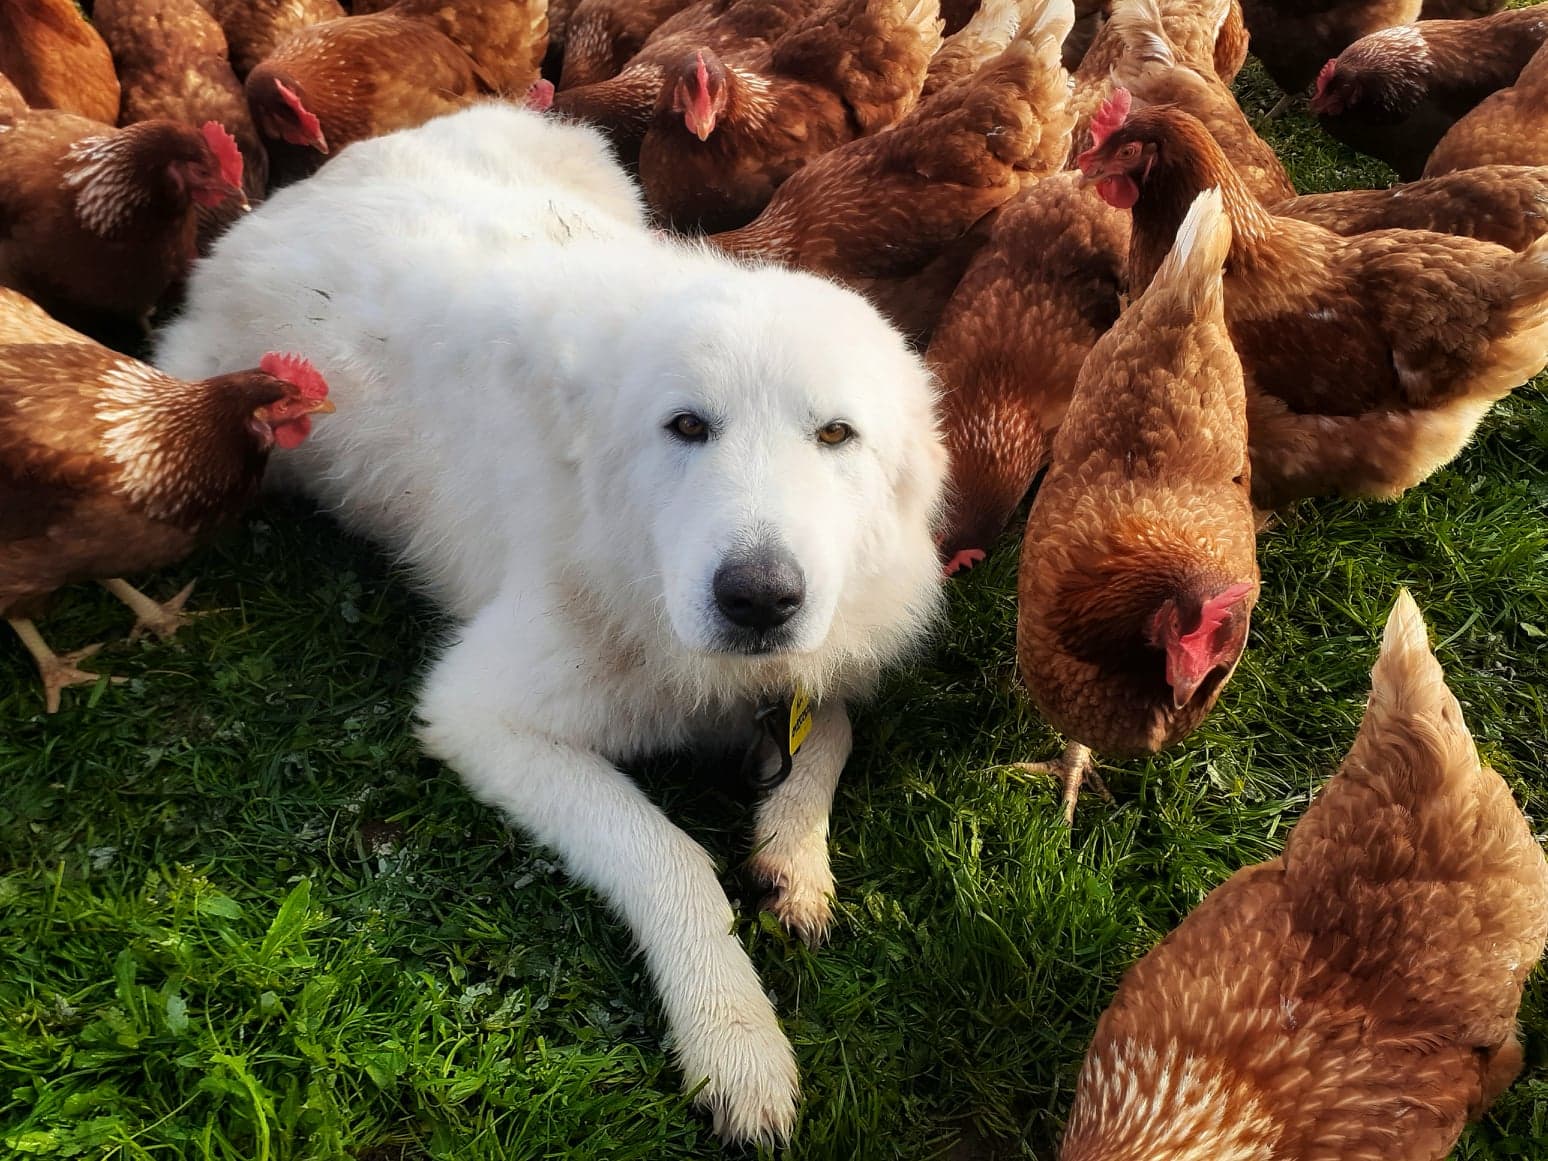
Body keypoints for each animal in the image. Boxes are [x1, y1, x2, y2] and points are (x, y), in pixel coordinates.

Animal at [155, 103, 949, 1145]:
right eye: (687, 426)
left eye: (835, 435)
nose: (758, 598)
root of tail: (296, 191)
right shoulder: (477, 716)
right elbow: (670, 857)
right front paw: (734, 1039)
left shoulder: (810, 667)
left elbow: (830, 726)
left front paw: (793, 853)